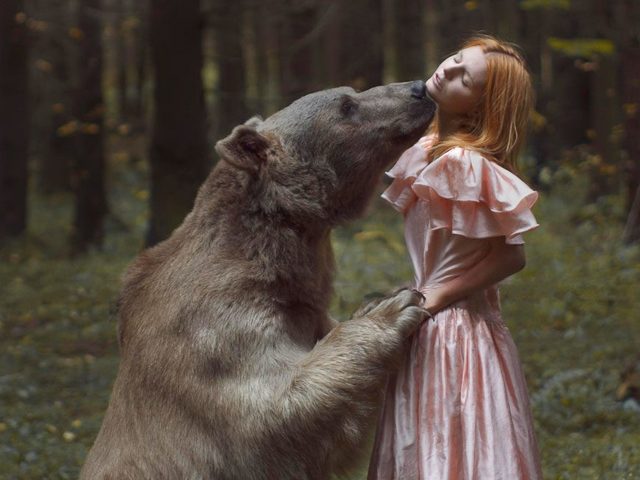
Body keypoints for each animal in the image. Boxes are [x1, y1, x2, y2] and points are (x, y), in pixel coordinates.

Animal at [80, 80, 436, 480]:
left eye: (350, 92)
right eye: (346, 105)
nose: (418, 89)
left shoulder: (303, 308)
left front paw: (375, 301)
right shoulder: (213, 331)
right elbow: (274, 409)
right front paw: (394, 306)